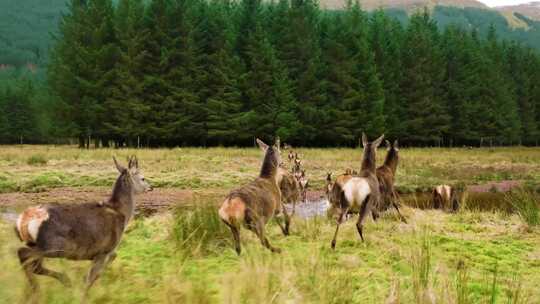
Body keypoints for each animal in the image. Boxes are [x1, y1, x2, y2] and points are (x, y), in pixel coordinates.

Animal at [14, 157, 152, 302]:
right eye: (142, 178)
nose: (151, 187)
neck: (122, 214)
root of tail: (23, 220)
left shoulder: (102, 252)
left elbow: (103, 266)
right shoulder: (104, 249)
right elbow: (93, 275)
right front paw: (83, 294)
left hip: (40, 244)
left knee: (33, 264)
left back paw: (37, 290)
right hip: (53, 245)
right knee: (24, 254)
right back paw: (50, 285)